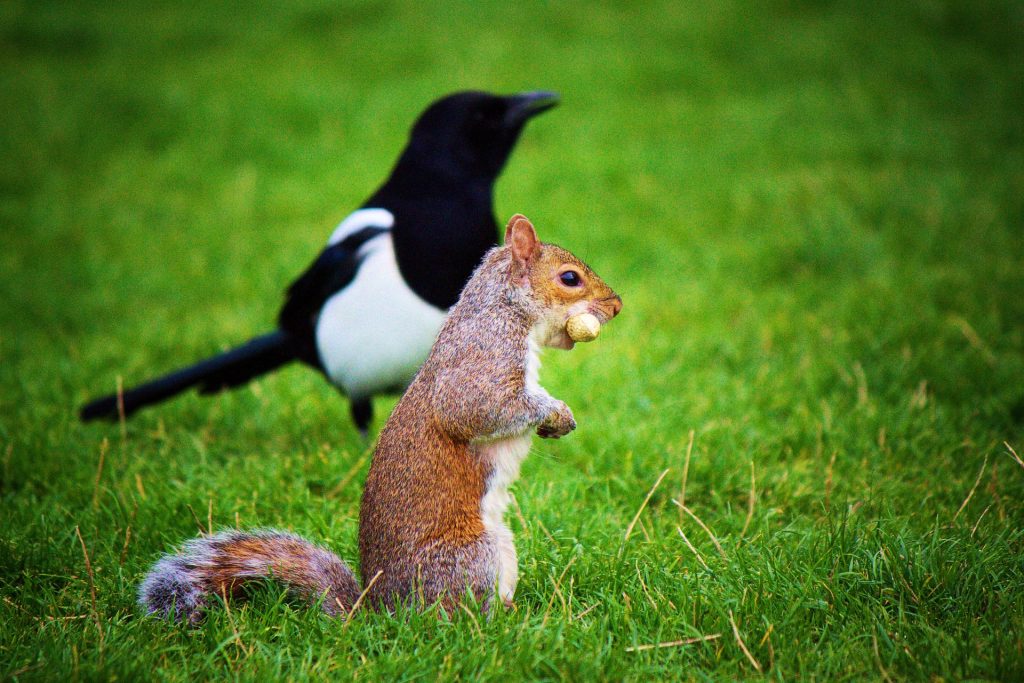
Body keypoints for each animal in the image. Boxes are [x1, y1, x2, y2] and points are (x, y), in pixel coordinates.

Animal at [140, 216, 622, 622]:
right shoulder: (483, 357)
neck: (502, 307)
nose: (616, 306)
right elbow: (477, 407)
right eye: (569, 278)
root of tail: (380, 612)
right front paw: (554, 412)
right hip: (470, 556)